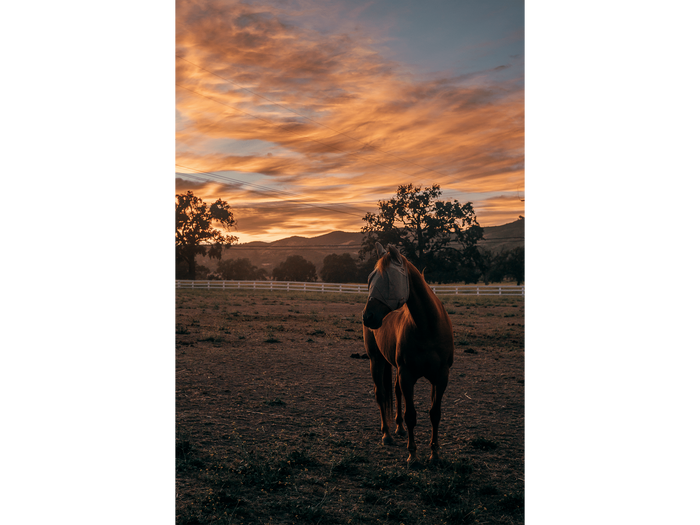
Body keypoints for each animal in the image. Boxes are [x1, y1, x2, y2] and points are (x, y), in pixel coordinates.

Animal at [361, 242, 454, 467]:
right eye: (369, 279)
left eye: (388, 280)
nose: (367, 317)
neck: (427, 327)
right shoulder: (408, 375)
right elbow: (411, 414)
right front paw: (413, 455)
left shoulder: (441, 377)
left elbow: (435, 413)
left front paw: (435, 453)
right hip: (376, 360)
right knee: (381, 394)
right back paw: (387, 434)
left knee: (395, 392)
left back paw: (399, 428)